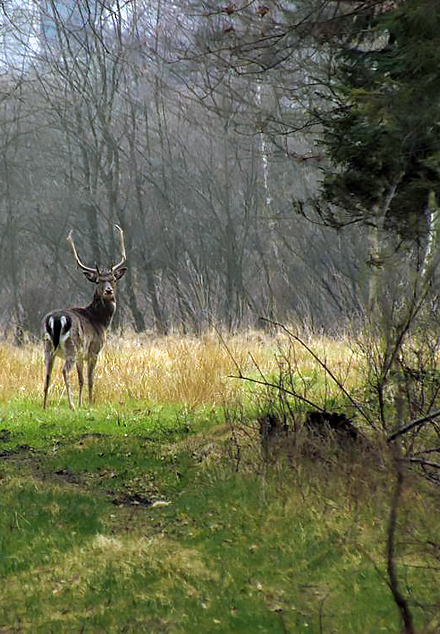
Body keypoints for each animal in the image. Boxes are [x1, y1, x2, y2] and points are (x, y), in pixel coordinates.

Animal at [42, 225, 127, 408]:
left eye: (113, 279)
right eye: (98, 281)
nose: (108, 290)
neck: (101, 322)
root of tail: (56, 320)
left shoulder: (81, 356)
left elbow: (80, 380)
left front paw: (82, 404)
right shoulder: (93, 351)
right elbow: (89, 380)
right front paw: (88, 404)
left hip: (47, 347)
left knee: (47, 373)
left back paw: (44, 406)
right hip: (71, 346)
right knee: (64, 371)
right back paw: (71, 405)